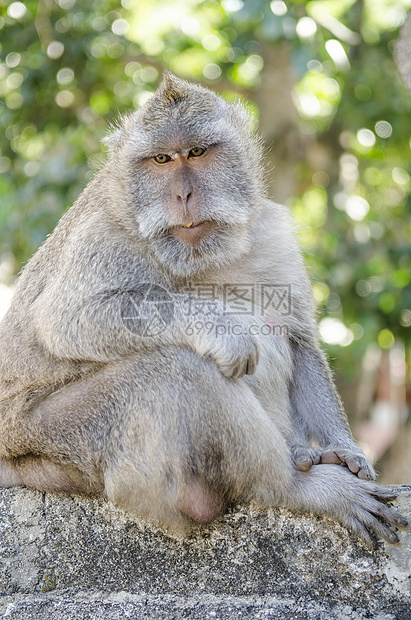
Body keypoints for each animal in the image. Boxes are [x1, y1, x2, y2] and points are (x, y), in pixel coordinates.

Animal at [0, 74, 408, 548]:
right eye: (161, 159)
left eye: (196, 152)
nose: (183, 194)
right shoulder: (102, 239)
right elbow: (69, 321)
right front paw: (221, 330)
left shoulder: (268, 230)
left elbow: (298, 336)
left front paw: (345, 447)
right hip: (56, 438)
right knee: (176, 370)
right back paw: (295, 486)